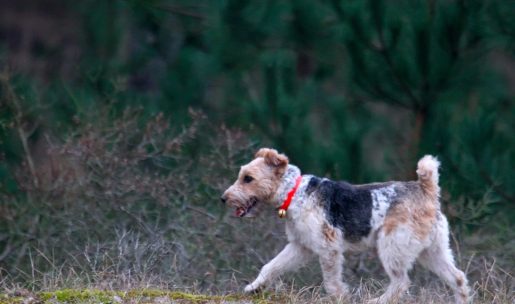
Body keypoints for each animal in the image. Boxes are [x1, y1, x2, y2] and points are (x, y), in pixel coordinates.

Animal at [222, 148, 472, 302]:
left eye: (248, 178)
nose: (223, 198)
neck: (294, 192)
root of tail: (427, 190)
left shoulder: (328, 248)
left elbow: (332, 282)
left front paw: (342, 298)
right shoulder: (300, 247)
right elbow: (271, 266)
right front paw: (254, 288)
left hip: (392, 247)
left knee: (401, 282)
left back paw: (375, 301)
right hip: (433, 251)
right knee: (458, 278)